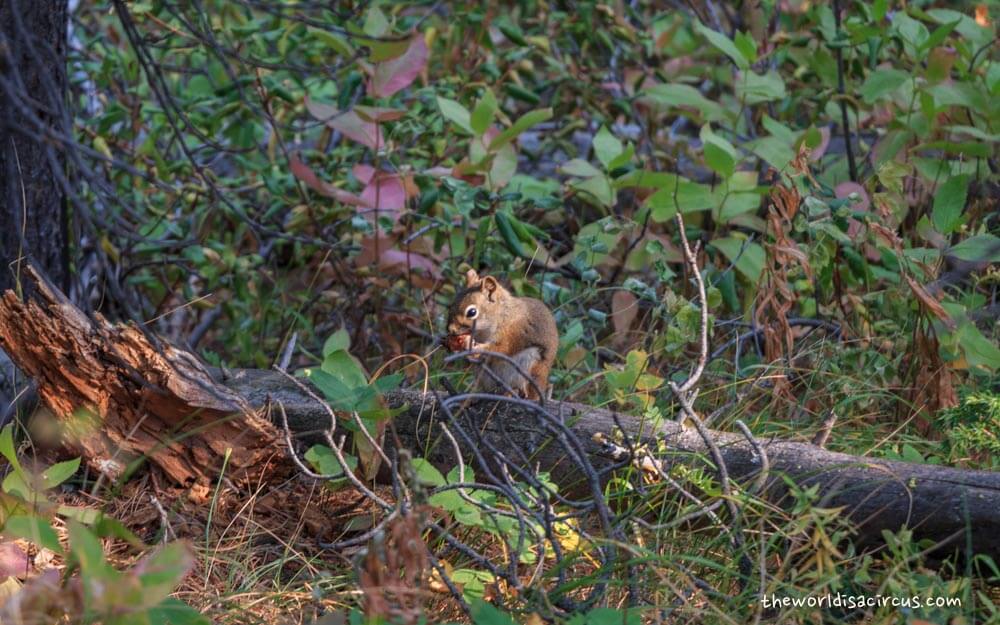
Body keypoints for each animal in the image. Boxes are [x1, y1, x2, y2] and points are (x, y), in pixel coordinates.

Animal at [444, 268, 560, 400]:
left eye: (472, 312)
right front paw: (452, 344)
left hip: (529, 365)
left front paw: (470, 345)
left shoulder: (511, 333)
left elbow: (499, 349)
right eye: (452, 305)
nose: (450, 329)